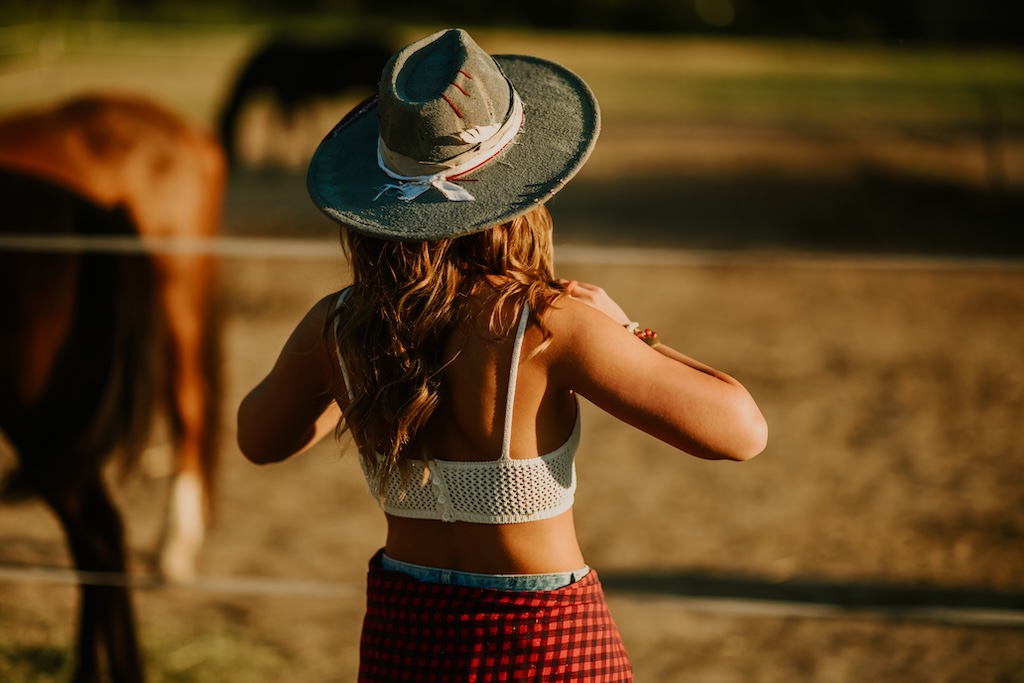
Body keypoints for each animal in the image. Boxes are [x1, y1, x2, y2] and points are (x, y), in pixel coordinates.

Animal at [218, 35, 393, 168]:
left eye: (228, 130)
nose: (230, 158)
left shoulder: (288, 94)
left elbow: (287, 124)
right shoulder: (295, 96)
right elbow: (294, 121)